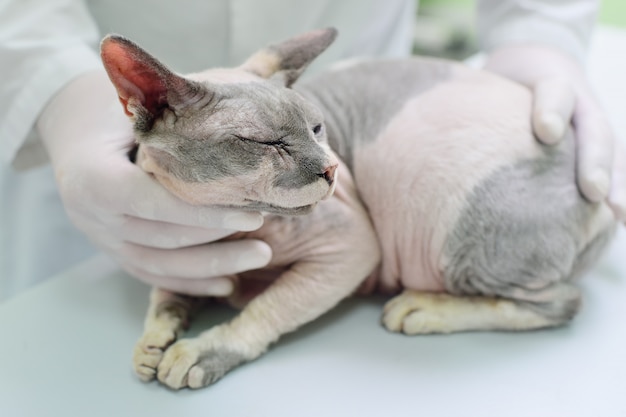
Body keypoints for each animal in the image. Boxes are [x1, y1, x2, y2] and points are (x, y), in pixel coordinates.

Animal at [98, 27, 616, 388]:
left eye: (318, 129)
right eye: (268, 144)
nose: (332, 169)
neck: (233, 231)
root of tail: (607, 195)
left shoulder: (352, 249)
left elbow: (267, 307)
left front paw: (204, 351)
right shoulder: (176, 250)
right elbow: (166, 295)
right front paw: (154, 339)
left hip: (458, 234)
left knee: (561, 302)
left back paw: (423, 309)